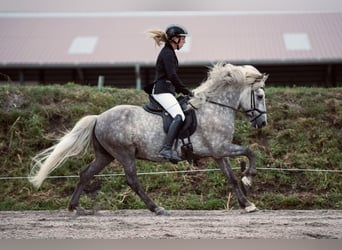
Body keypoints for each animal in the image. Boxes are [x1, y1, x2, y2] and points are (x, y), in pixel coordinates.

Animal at [29, 63, 268, 216]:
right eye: (260, 96)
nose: (262, 123)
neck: (214, 107)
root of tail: (98, 118)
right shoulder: (221, 148)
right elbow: (250, 151)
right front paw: (250, 177)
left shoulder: (219, 153)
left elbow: (231, 178)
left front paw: (247, 204)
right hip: (125, 154)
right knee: (132, 180)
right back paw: (157, 208)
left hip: (105, 155)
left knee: (86, 174)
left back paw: (75, 208)